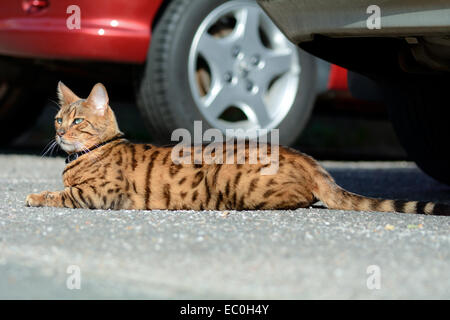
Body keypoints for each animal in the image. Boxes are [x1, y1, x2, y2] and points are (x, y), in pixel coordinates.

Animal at [26, 81, 448, 216]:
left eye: (77, 121)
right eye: (58, 120)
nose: (59, 133)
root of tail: (306, 158)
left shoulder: (102, 194)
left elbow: (62, 195)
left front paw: (35, 195)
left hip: (234, 180)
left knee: (301, 199)